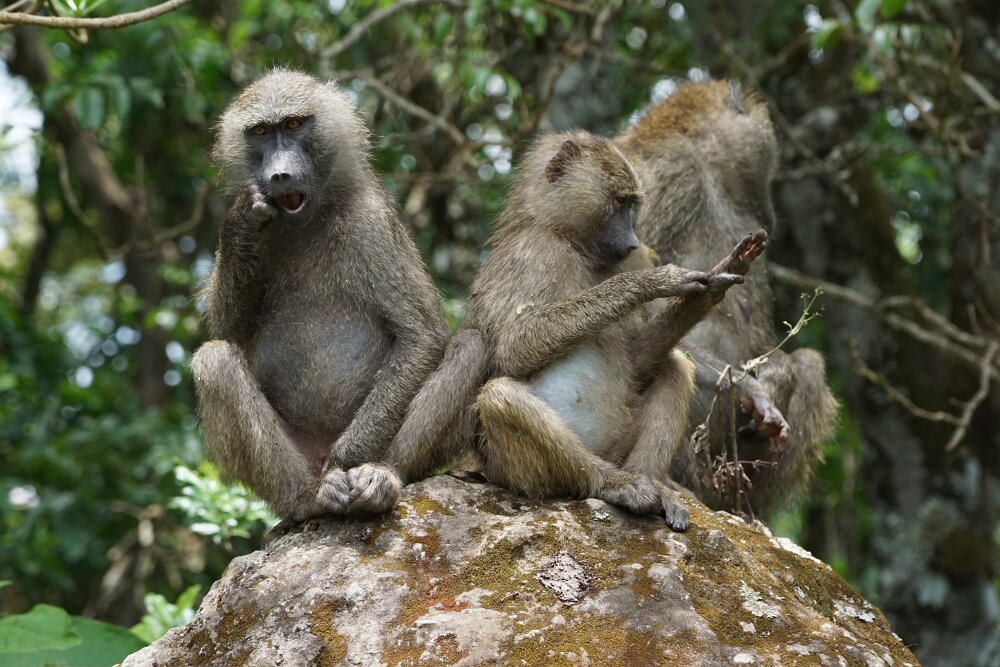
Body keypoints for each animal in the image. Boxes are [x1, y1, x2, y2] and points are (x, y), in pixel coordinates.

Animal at [190, 69, 452, 521]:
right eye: (261, 132)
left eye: (294, 124)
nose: (279, 175)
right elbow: (230, 333)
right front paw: (242, 217)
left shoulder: (371, 221)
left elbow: (421, 336)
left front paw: (349, 461)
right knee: (216, 360)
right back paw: (308, 498)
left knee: (472, 343)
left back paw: (381, 478)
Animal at [463, 131, 766, 530]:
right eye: (620, 201)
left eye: (632, 204)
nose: (633, 242)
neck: (571, 242)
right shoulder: (530, 252)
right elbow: (513, 348)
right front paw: (654, 281)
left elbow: (640, 361)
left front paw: (717, 281)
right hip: (513, 471)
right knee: (500, 397)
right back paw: (613, 484)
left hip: (619, 444)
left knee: (674, 367)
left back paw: (652, 485)